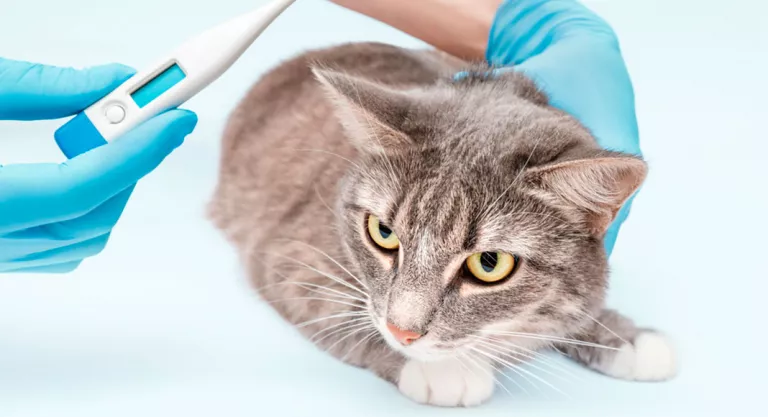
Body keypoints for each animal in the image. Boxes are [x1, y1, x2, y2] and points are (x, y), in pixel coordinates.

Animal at [206, 42, 680, 406]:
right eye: (383, 233)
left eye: (489, 263)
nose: (403, 332)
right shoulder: (293, 255)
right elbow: (342, 308)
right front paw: (446, 369)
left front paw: (622, 336)